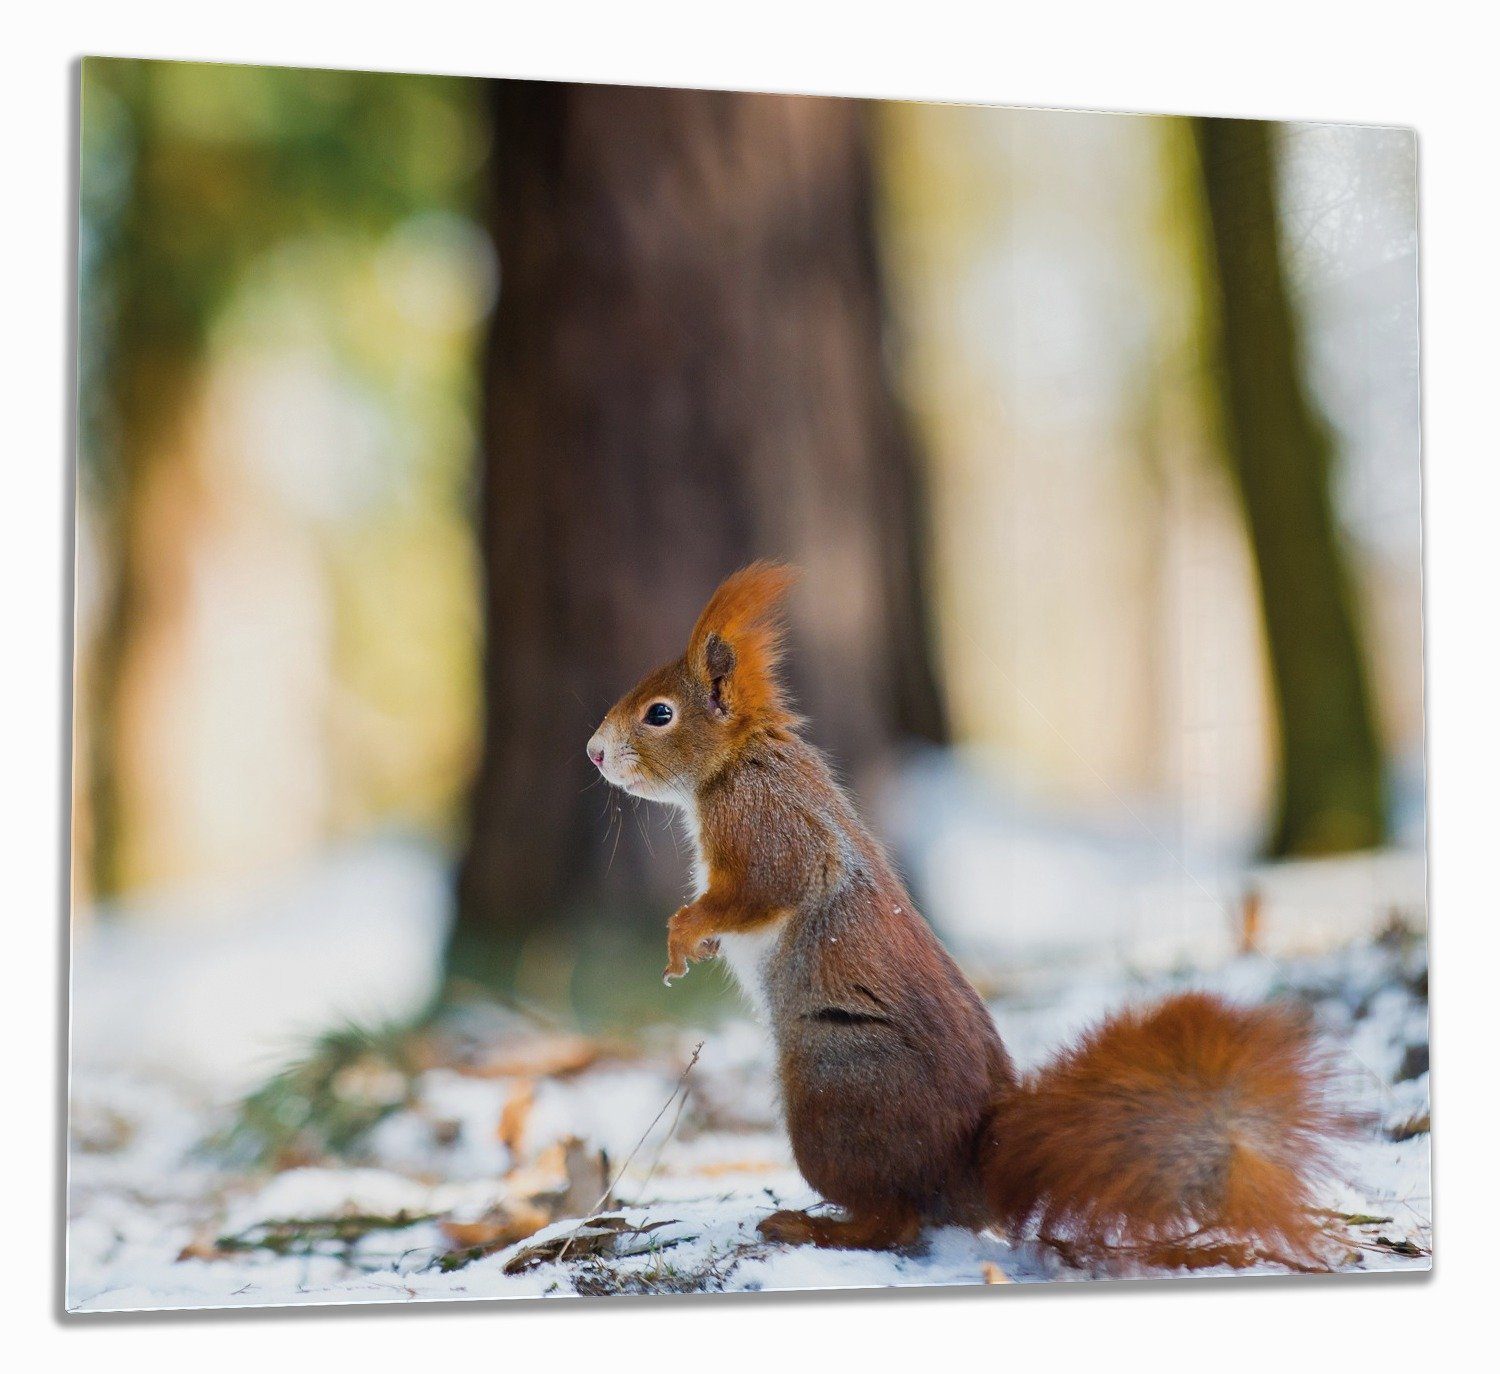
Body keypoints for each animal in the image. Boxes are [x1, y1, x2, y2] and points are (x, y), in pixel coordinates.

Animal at [582, 561, 1350, 1266]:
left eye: (659, 714)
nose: (592, 753)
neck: (737, 762)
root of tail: (972, 1176)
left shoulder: (767, 827)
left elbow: (761, 892)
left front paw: (683, 935)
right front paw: (699, 945)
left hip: (833, 1097)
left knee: (893, 1220)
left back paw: (815, 1227)